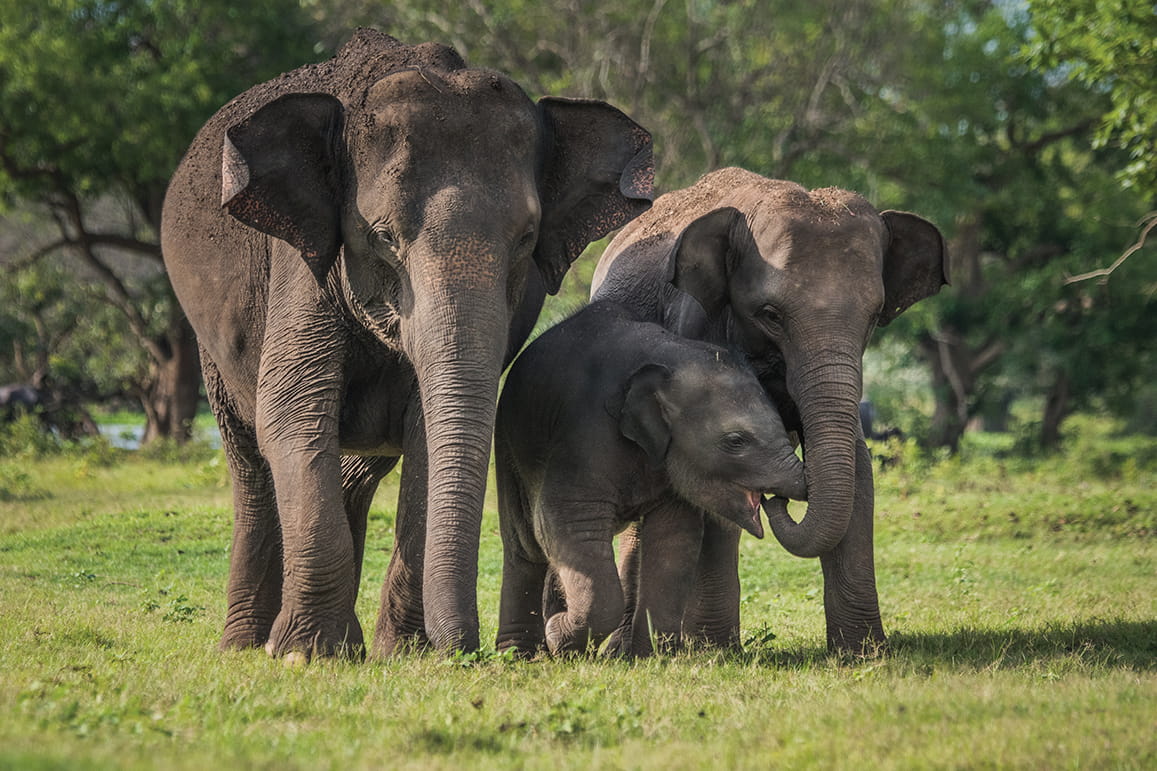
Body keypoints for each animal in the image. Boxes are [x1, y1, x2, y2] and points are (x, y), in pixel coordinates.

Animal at [160, 29, 653, 659]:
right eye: (383, 236)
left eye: (526, 238)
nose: (471, 648)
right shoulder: (302, 263)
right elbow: (294, 412)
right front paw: (300, 655)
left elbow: (424, 434)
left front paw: (404, 653)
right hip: (213, 351)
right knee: (249, 461)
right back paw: (245, 645)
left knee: (356, 470)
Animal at [493, 300, 807, 657]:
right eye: (736, 441)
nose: (782, 497)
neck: (672, 358)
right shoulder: (583, 431)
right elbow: (563, 520)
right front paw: (558, 639)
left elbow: (674, 539)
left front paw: (647, 657)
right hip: (508, 443)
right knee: (524, 545)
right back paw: (521, 652)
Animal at [590, 167, 947, 653]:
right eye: (771, 314)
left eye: (874, 317)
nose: (780, 499)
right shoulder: (696, 327)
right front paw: (716, 653)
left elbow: (858, 470)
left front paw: (862, 653)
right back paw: (628, 648)